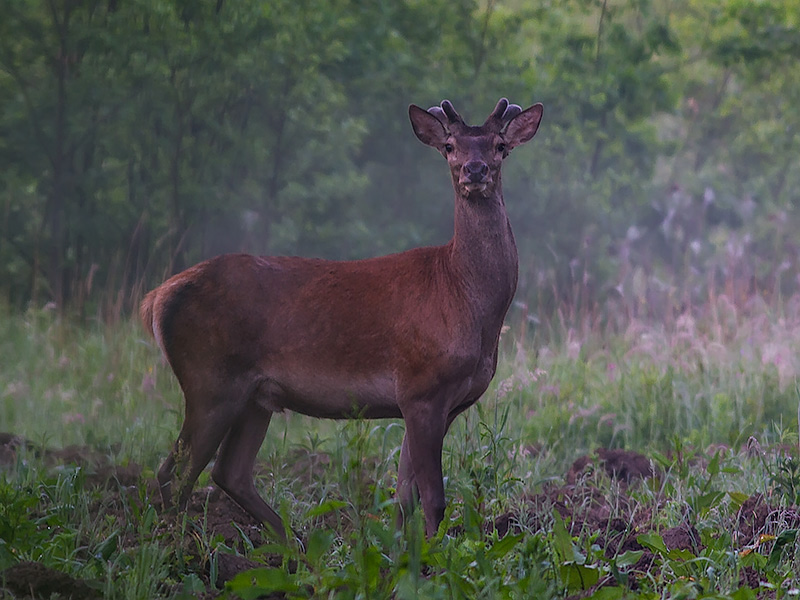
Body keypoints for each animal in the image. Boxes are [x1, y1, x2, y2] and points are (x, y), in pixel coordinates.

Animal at [142, 98, 544, 540]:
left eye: (500, 145)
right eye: (450, 146)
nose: (475, 170)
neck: (464, 297)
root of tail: (157, 298)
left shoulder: (431, 402)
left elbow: (404, 496)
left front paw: (397, 551)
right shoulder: (422, 387)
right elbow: (434, 499)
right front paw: (434, 554)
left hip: (254, 395)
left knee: (229, 472)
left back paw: (294, 544)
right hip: (210, 379)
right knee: (175, 471)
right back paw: (182, 543)